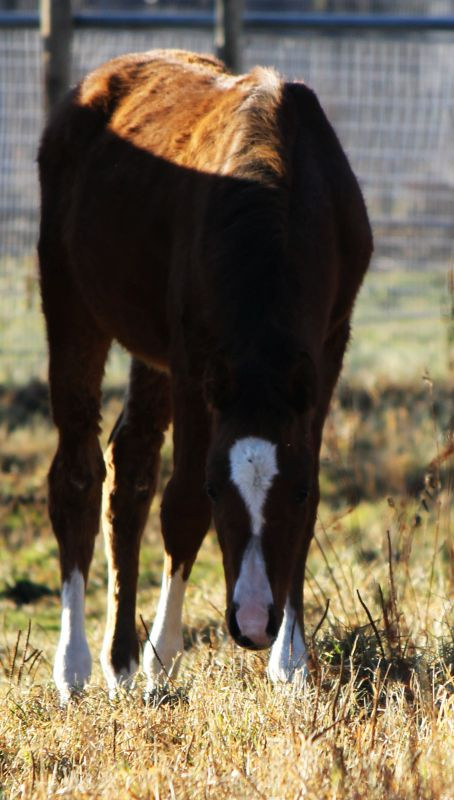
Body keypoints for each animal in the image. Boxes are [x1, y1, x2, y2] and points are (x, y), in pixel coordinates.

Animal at [38, 48, 372, 700]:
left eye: (294, 492)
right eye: (222, 490)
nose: (253, 622)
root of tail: (92, 85)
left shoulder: (328, 346)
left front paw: (290, 665)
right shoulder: (195, 358)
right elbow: (184, 502)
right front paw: (162, 662)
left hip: (152, 353)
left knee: (131, 467)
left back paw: (119, 663)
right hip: (72, 306)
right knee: (79, 474)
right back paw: (76, 666)